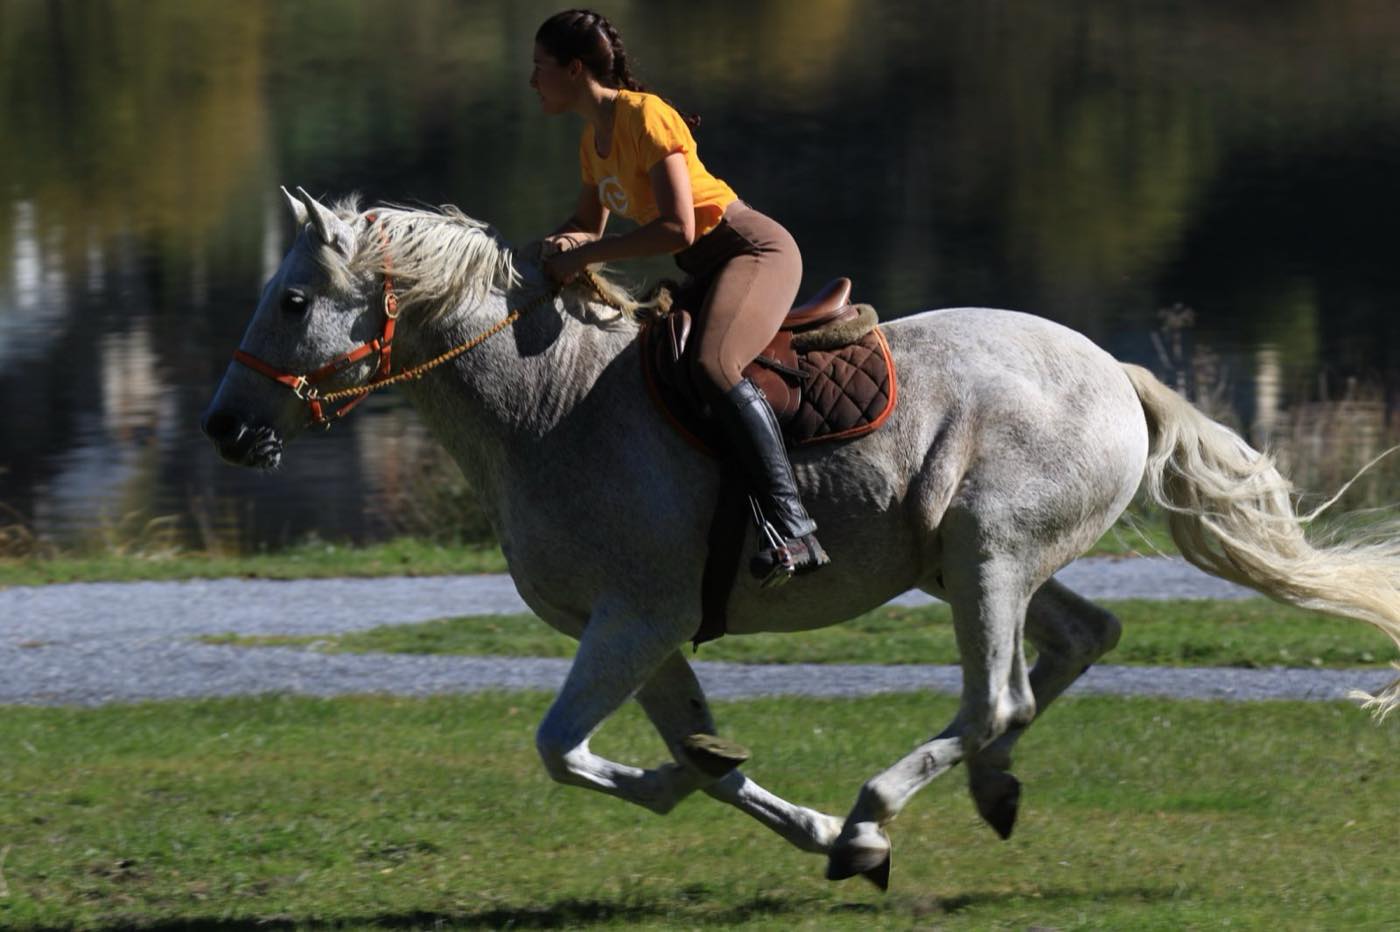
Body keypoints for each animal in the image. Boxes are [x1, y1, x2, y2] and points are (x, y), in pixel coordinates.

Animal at [202, 188, 1400, 889]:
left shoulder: (634, 620)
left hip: (986, 553)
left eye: (294, 299)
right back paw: (979, 791)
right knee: (1075, 642)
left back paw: (886, 808)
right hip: (961, 561)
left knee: (999, 693)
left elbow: (568, 750)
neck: (548, 404)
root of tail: (1116, 371)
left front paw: (807, 819)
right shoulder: (644, 632)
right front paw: (796, 821)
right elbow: (692, 760)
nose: (224, 428)